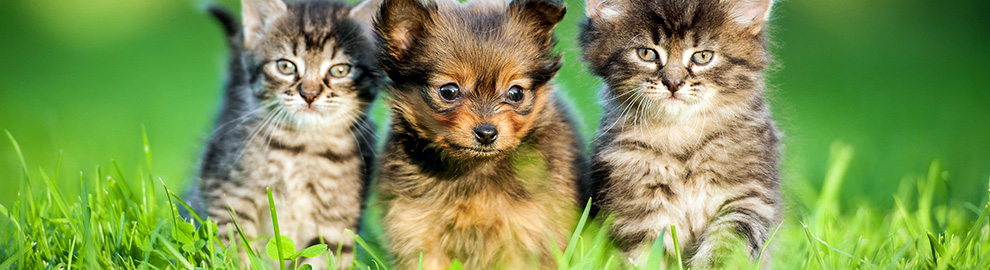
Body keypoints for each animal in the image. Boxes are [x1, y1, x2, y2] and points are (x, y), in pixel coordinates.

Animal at [186, 0, 384, 268]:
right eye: (286, 66)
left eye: (340, 70)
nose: (309, 94)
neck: (302, 148)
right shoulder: (228, 190)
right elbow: (233, 244)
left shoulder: (337, 218)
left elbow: (323, 257)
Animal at [372, 0, 588, 268]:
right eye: (449, 91)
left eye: (516, 93)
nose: (486, 133)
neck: (473, 170)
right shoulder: (417, 231)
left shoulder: (526, 235)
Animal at [580, 0, 784, 266]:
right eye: (646, 53)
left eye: (702, 56)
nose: (673, 83)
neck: (680, 136)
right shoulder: (637, 211)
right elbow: (645, 257)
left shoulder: (748, 198)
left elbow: (725, 249)